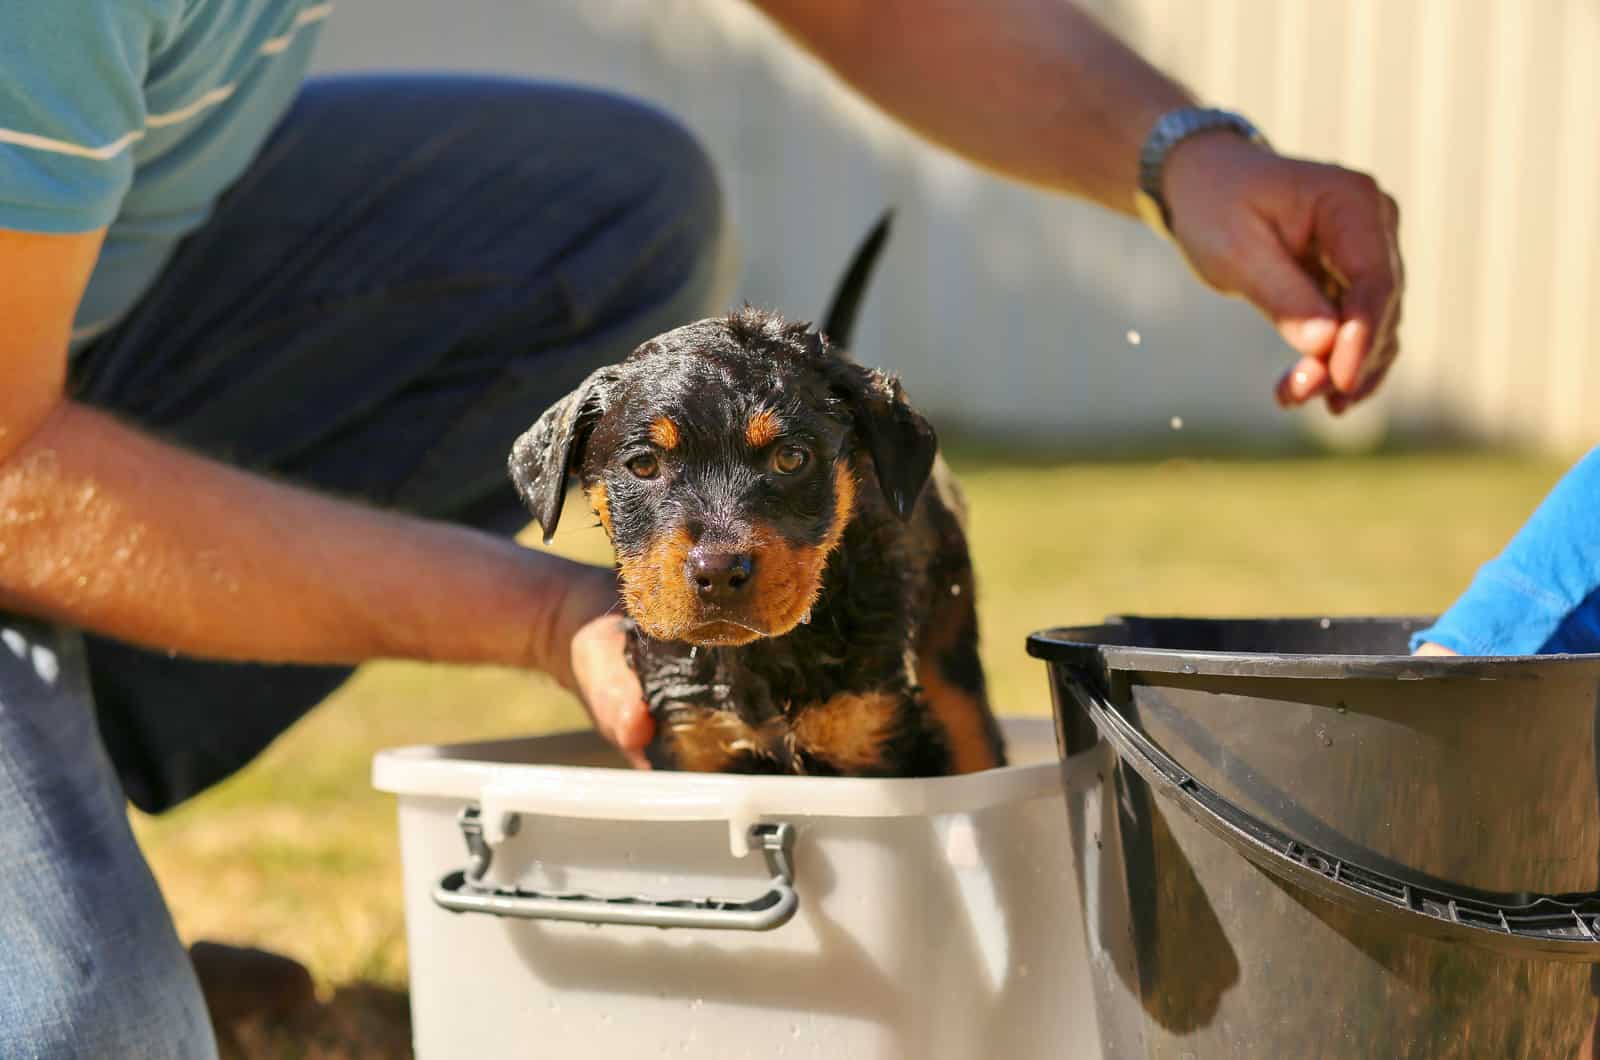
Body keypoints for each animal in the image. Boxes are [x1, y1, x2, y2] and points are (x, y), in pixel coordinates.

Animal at [512, 217, 1004, 781]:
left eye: (790, 458)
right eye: (643, 465)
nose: (720, 572)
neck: (757, 659)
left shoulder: (874, 734)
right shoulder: (693, 741)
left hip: (951, 642)